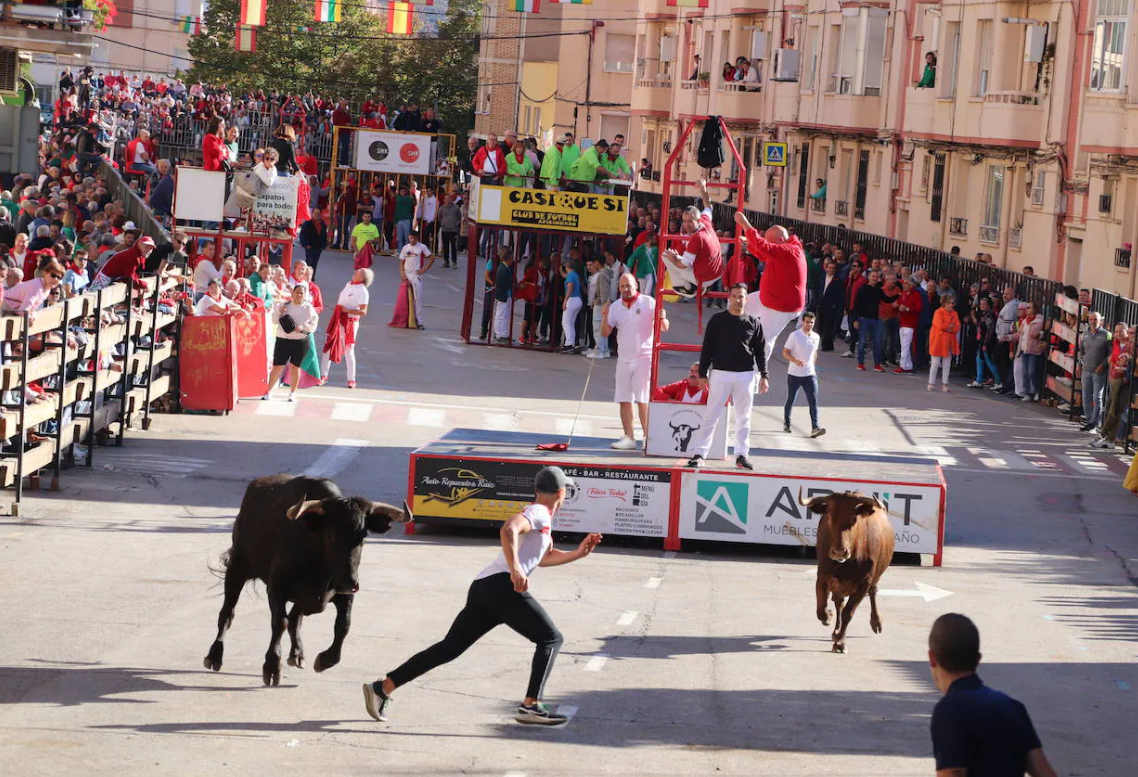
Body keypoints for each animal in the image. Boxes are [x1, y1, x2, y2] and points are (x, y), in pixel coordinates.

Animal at [202, 473, 411, 687]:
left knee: (296, 618)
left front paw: (324, 660)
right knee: (228, 612)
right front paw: (272, 667)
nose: (349, 583)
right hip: (237, 568)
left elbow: (343, 625)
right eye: (330, 534)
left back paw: (297, 654)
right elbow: (280, 623)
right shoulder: (276, 589)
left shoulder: (343, 595)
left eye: (363, 536)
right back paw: (214, 656)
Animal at [805, 489, 892, 655]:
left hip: (875, 577)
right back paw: (835, 629)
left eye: (854, 519)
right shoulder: (823, 576)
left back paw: (876, 622)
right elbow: (822, 609)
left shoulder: (864, 583)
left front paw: (841, 642)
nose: (839, 552)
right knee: (839, 603)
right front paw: (829, 617)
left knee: (873, 592)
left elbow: (848, 612)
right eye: (828, 517)